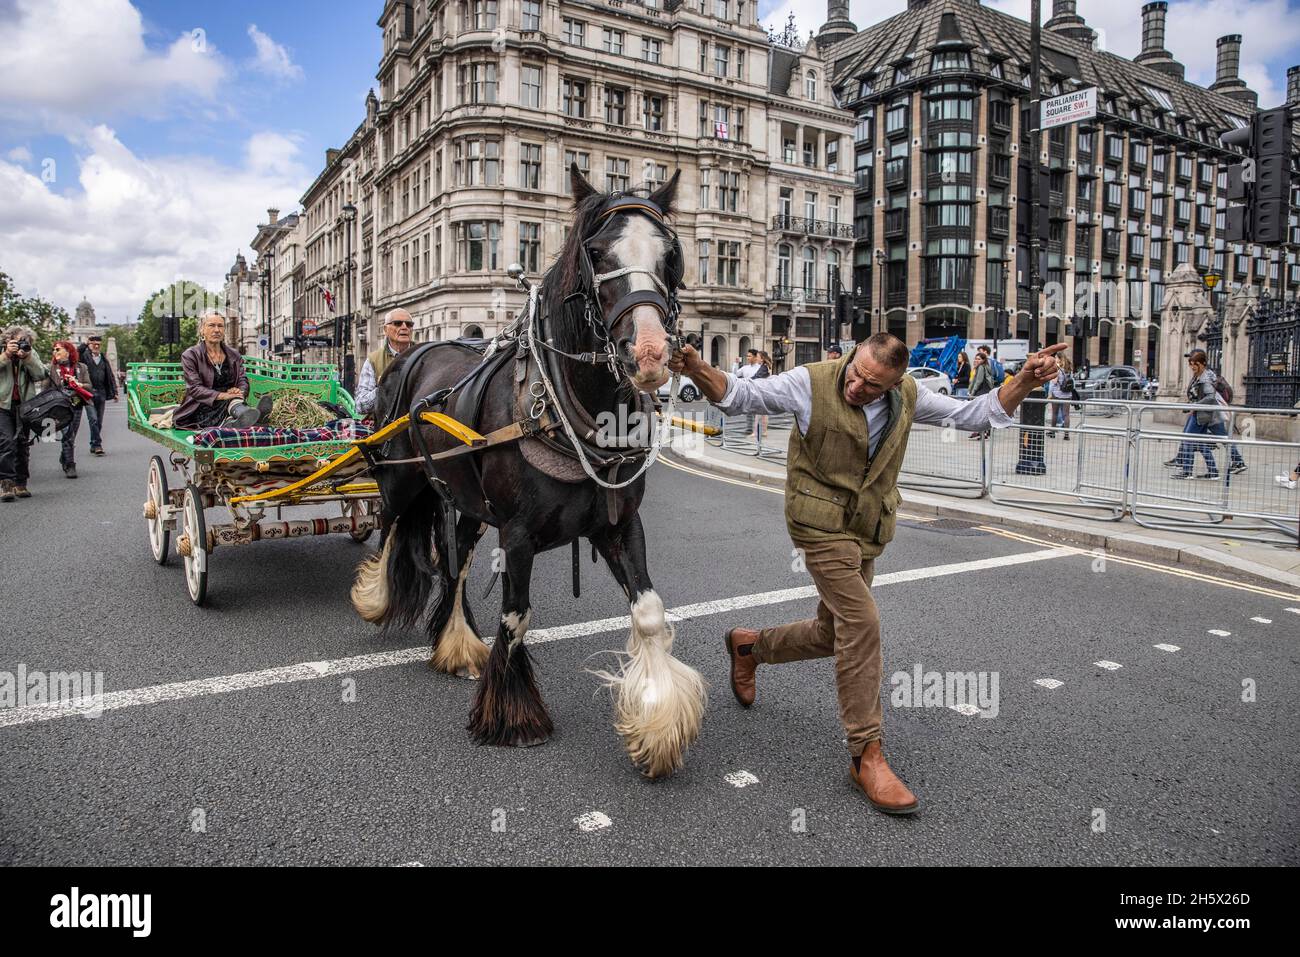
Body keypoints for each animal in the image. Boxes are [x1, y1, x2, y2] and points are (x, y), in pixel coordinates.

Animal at [351, 164, 707, 780]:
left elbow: (650, 613)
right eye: (596, 252)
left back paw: (456, 644)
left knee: (455, 565)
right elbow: (516, 618)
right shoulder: (516, 534)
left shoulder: (619, 524)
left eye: (671, 255)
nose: (650, 355)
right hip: (400, 479)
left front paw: (658, 725)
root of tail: (410, 353)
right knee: (391, 530)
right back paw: (376, 598)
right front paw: (513, 717)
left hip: (466, 503)